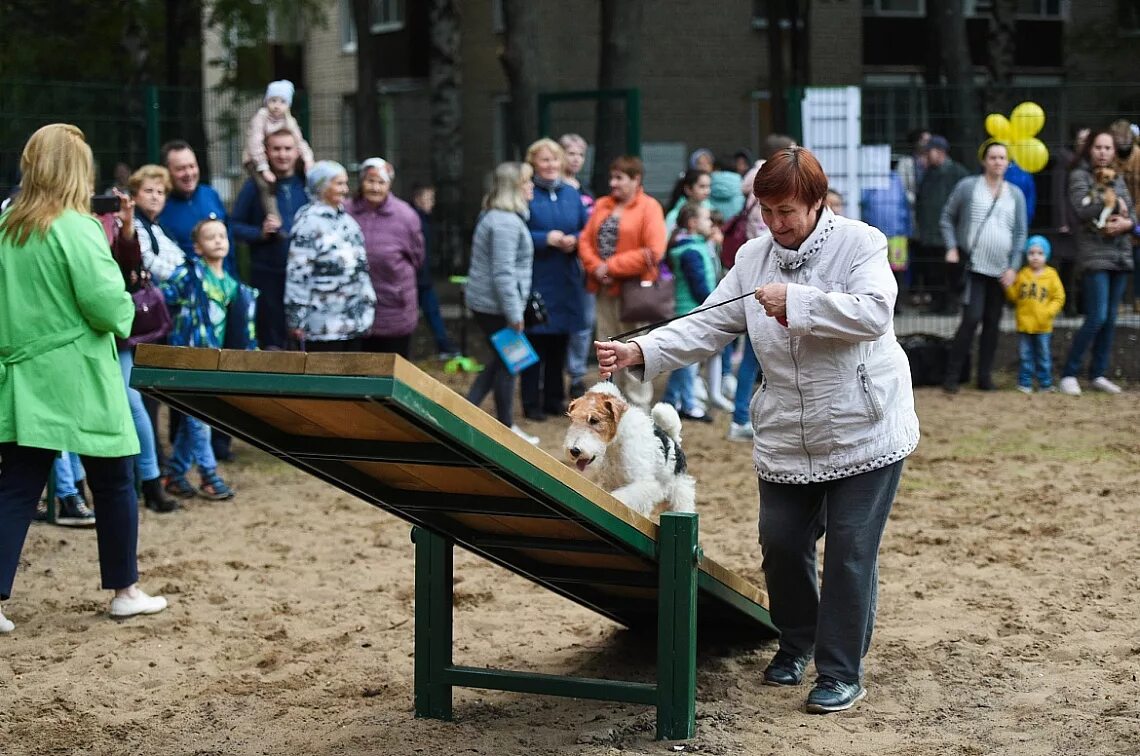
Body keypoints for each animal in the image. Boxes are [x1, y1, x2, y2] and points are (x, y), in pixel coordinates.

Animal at [560, 380, 693, 517]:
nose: (574, 450)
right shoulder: (608, 483)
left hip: (679, 492)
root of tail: (673, 439)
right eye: (572, 419)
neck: (615, 446)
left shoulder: (644, 484)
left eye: (594, 420)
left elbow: (620, 497)